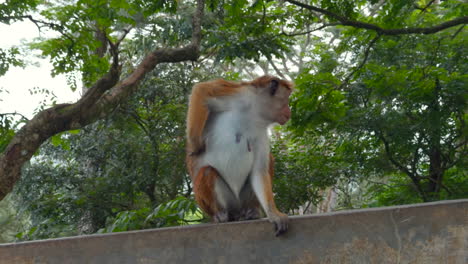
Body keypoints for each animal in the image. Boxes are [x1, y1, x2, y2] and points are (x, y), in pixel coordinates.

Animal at [186, 75, 292, 236]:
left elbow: (259, 171)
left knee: (268, 161)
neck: (253, 113)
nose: (289, 111)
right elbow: (202, 89)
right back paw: (220, 214)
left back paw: (252, 211)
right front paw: (195, 143)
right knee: (207, 171)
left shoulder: (261, 132)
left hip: (242, 201)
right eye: (286, 100)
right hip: (223, 202)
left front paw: (273, 213)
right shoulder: (240, 95)